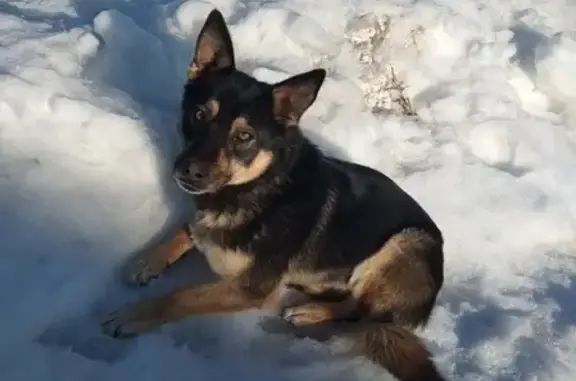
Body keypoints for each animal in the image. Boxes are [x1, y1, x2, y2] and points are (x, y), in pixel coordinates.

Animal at [101, 9, 448, 380]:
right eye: (199, 114)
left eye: (244, 136)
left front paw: (133, 315)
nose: (189, 171)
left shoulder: (250, 289)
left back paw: (310, 312)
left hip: (407, 242)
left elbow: (180, 296)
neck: (258, 188)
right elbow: (185, 230)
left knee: (361, 310)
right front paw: (147, 261)